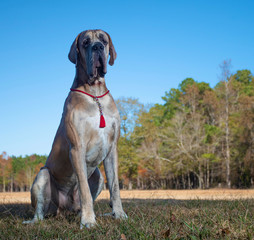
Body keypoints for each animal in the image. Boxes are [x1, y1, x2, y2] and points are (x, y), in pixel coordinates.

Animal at [22, 29, 127, 229]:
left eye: (103, 40)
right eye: (85, 42)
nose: (97, 47)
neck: (95, 95)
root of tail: (64, 209)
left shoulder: (112, 150)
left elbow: (115, 187)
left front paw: (119, 214)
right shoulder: (77, 148)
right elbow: (84, 190)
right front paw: (88, 221)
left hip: (98, 177)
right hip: (42, 176)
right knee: (40, 212)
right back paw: (35, 220)